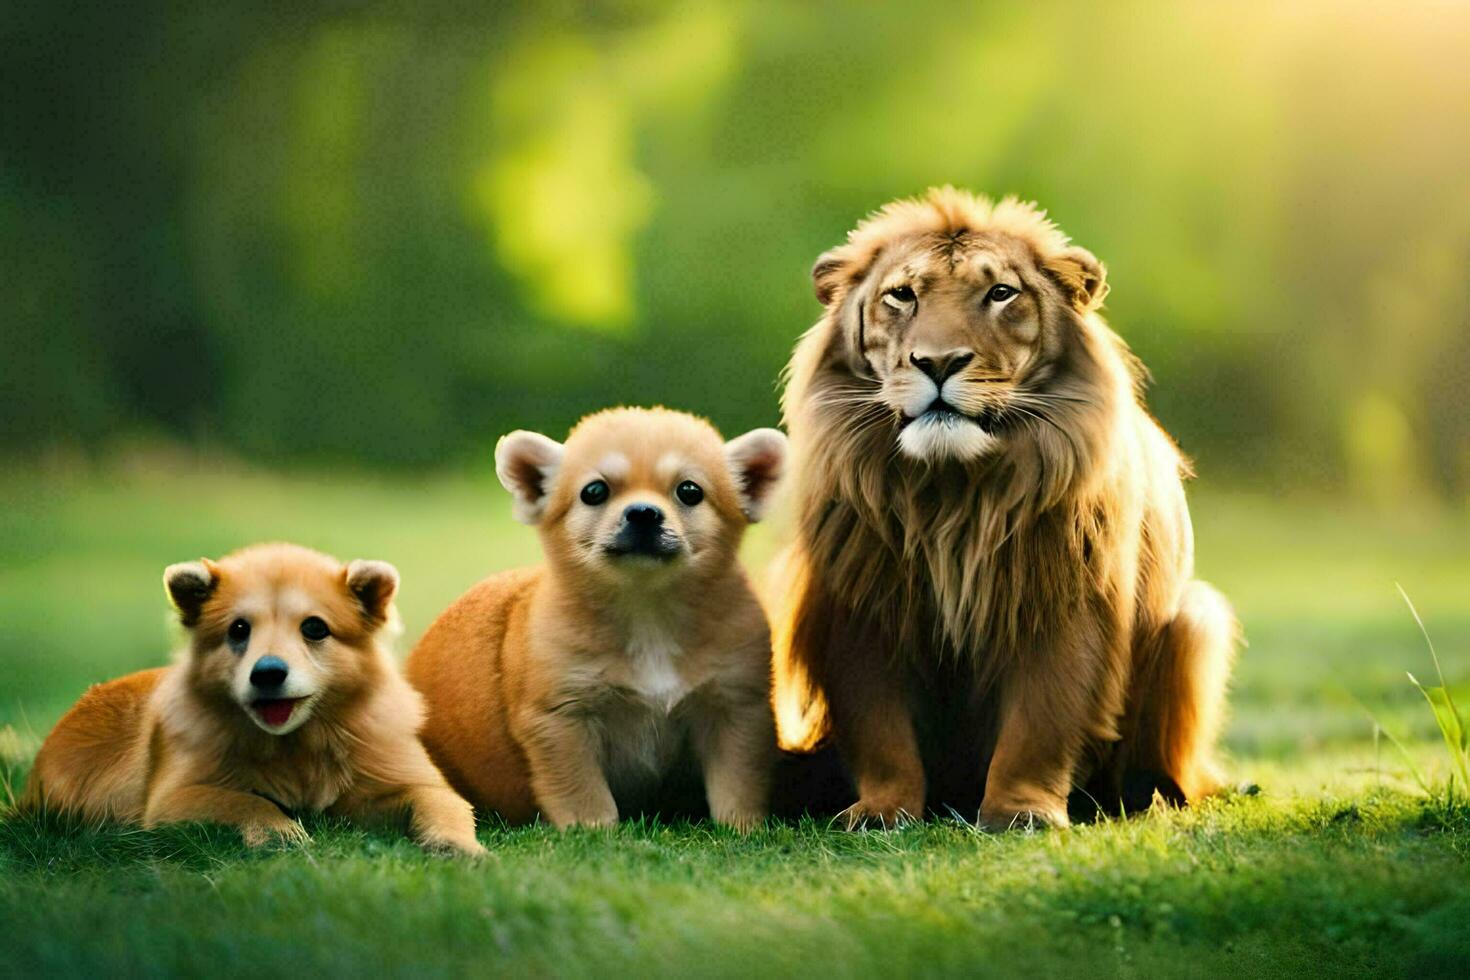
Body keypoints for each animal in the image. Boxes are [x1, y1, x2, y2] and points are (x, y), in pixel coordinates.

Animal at [24, 540, 482, 852]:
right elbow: (243, 801)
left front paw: (461, 846)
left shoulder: (397, 782)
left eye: (314, 628)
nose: (267, 673)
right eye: (239, 630)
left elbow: (441, 803)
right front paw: (280, 832)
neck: (298, 747)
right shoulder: (171, 799)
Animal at [408, 405, 787, 828]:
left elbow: (737, 781)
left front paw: (744, 828)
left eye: (689, 491)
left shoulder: (736, 707)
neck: (647, 612)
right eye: (594, 492)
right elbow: (582, 788)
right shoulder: (561, 717)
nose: (643, 513)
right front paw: (592, 830)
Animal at [770, 188, 1240, 834]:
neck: (951, 493)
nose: (938, 362)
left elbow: (1040, 724)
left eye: (999, 293)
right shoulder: (863, 610)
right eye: (902, 295)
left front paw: (1022, 813)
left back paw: (1150, 798)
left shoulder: (1062, 603)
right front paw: (881, 812)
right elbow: (880, 729)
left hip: (1197, 617)